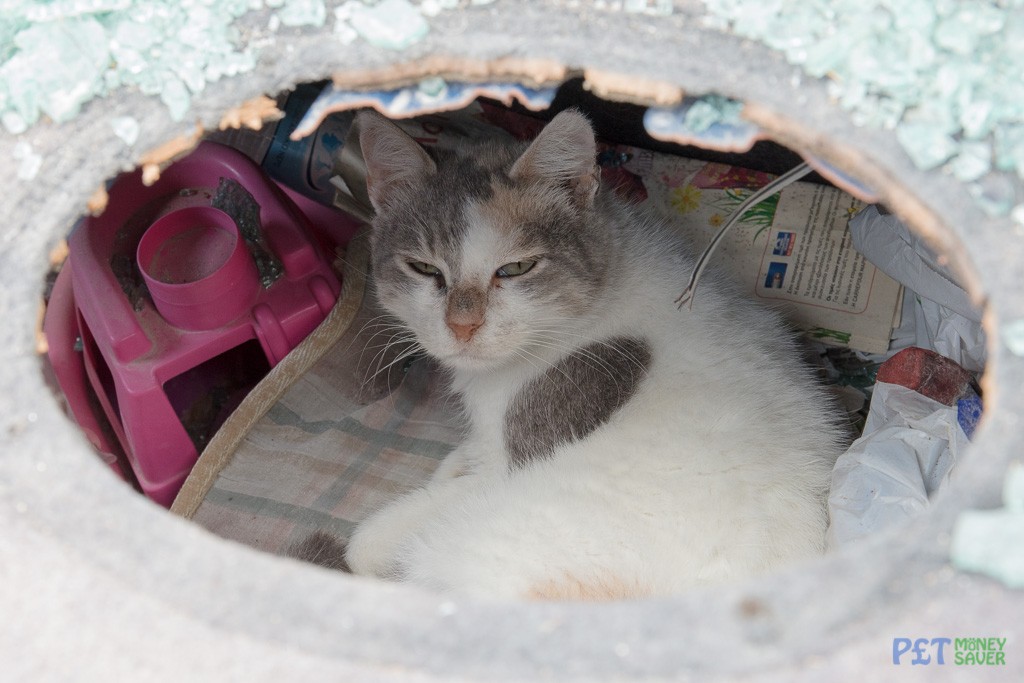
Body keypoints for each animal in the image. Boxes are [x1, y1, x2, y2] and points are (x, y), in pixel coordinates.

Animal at [339, 109, 843, 602]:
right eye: (423, 268)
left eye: (516, 268)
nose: (463, 325)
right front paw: (456, 462)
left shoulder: (508, 464)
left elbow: (368, 541)